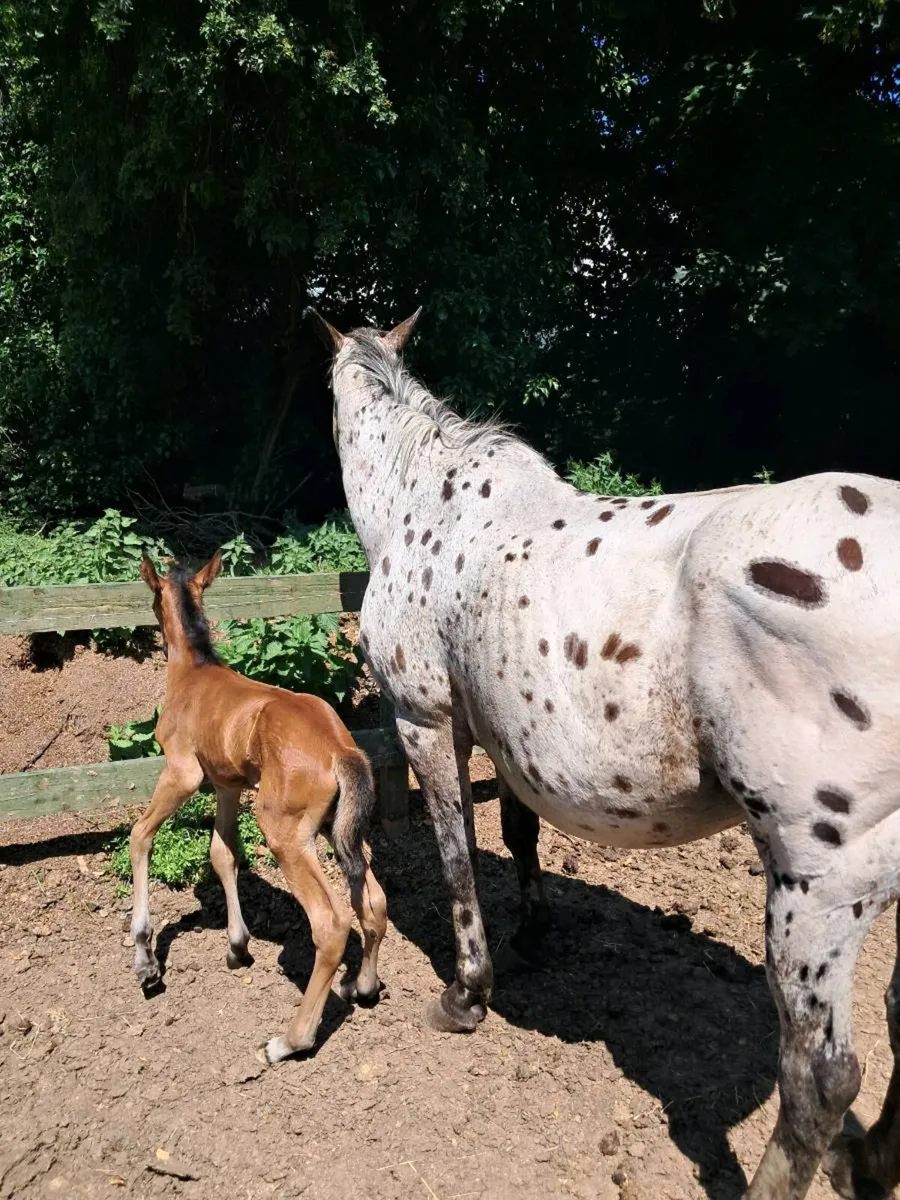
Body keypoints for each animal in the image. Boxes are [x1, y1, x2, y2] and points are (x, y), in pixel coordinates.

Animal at [129, 551, 387, 1062]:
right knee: (374, 901)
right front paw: (236, 946)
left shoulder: (183, 773)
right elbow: (222, 854)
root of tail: (340, 749)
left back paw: (290, 1040)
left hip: (286, 833)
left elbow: (141, 835)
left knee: (331, 923)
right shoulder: (226, 785)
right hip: (340, 828)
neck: (192, 675)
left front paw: (145, 960)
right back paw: (361, 987)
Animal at [310, 305, 900, 1199]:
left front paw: (467, 993)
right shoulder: (505, 734)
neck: (426, 506)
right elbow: (517, 833)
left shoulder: (426, 719)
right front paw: (533, 930)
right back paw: (867, 1163)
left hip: (820, 884)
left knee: (821, 1078)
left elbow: (456, 852)